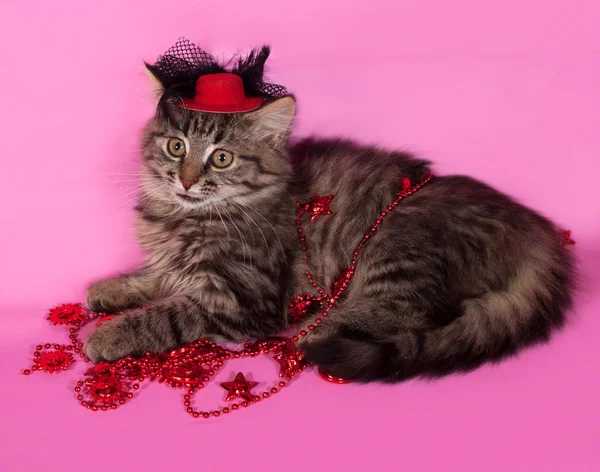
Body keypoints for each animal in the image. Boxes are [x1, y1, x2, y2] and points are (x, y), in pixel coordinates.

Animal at [82, 60, 576, 384]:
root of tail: (537, 233)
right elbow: (154, 277)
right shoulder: (175, 265)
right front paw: (110, 289)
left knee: (411, 312)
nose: (185, 180)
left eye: (221, 158)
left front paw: (111, 334)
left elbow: (169, 313)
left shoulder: (243, 298)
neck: (186, 216)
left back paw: (316, 330)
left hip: (396, 237)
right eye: (176, 148)